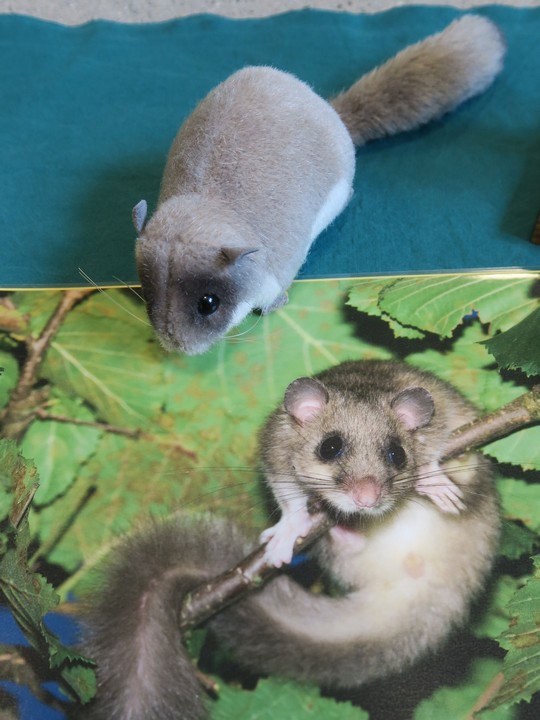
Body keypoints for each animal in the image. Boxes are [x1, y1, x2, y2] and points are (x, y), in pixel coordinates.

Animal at [81, 360, 500, 720]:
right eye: (329, 447)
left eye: (397, 454)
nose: (367, 499)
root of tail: (432, 588)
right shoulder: (275, 452)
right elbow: (288, 495)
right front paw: (287, 530)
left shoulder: (455, 427)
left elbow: (451, 455)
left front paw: (432, 475)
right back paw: (342, 534)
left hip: (481, 507)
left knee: (474, 486)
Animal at [134, 16, 505, 355]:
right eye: (146, 293)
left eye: (209, 303)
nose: (174, 347)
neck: (208, 205)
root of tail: (330, 109)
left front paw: (275, 306)